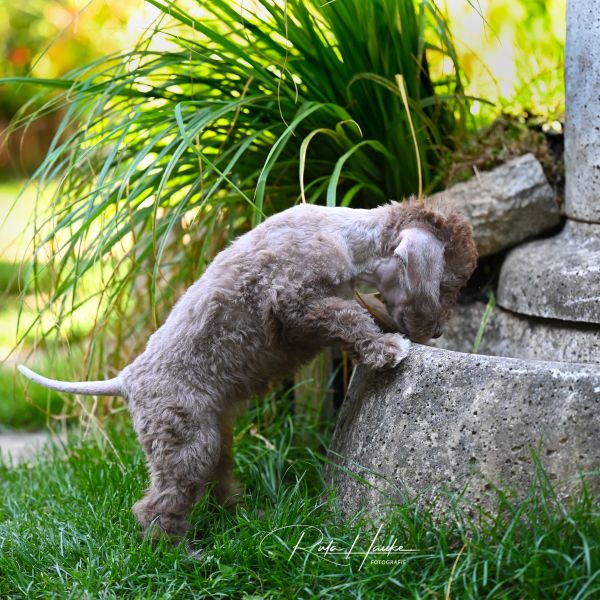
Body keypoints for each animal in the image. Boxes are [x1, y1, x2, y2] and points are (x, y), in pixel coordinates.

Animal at [17, 202, 478, 544]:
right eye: (449, 284)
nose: (439, 331)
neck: (346, 235)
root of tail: (126, 380)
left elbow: (365, 310)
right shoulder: (297, 302)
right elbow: (348, 318)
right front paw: (386, 350)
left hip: (214, 436)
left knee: (216, 486)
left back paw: (245, 516)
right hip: (186, 440)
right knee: (158, 506)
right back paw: (183, 554)